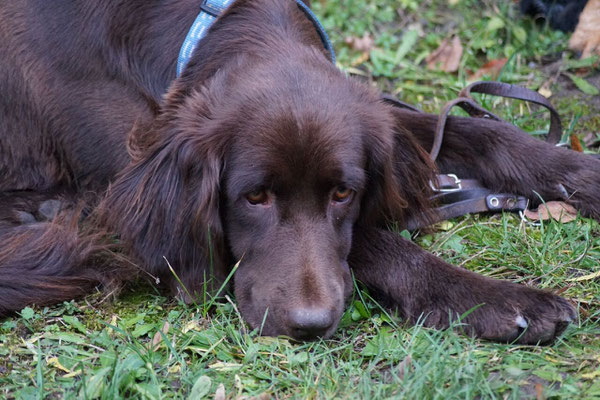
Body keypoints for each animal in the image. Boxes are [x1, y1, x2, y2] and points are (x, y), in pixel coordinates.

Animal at [1, 0, 600, 344]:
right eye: (255, 198)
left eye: (343, 193)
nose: (308, 326)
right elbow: (373, 241)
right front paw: (496, 300)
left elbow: (480, 132)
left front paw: (580, 172)